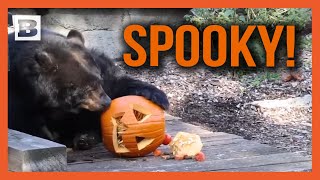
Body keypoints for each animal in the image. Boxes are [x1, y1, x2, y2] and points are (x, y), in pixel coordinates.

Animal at [8, 29, 170, 150]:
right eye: (84, 88)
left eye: (99, 80)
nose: (106, 103)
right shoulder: (18, 96)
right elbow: (27, 124)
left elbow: (117, 83)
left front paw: (156, 97)